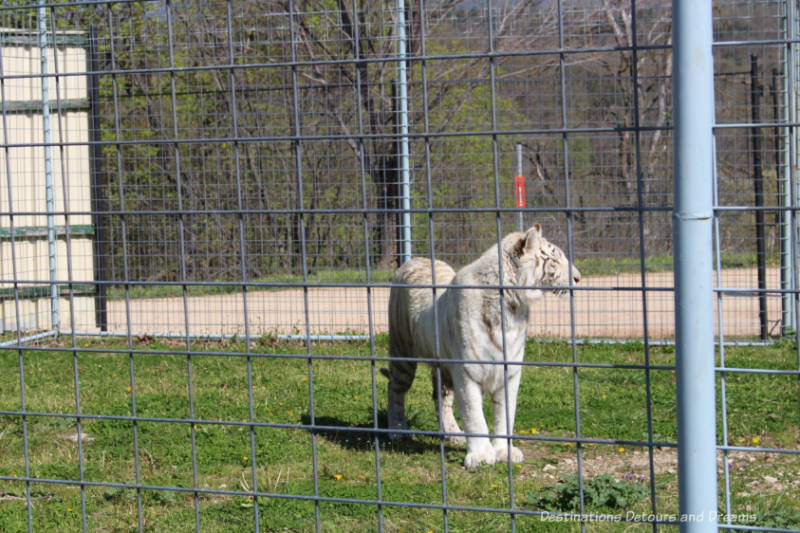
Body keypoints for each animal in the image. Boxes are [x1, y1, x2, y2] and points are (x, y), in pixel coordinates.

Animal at [382, 224, 580, 466]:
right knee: (395, 388)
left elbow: (506, 414)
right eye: (554, 259)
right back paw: (397, 430)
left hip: (443, 369)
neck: (512, 307)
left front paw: (505, 452)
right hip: (402, 351)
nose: (579, 278)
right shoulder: (467, 370)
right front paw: (481, 456)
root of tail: (413, 260)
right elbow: (474, 414)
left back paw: (453, 434)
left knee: (441, 398)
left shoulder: (510, 371)